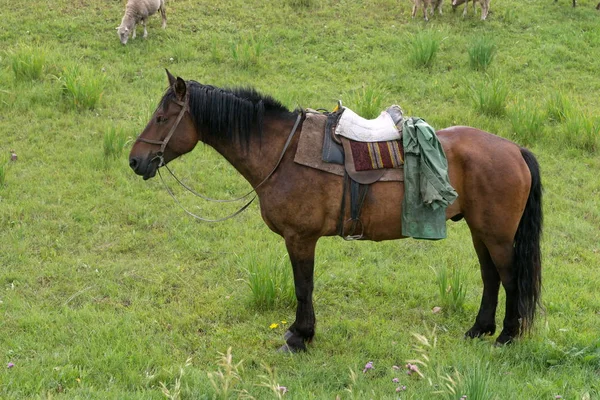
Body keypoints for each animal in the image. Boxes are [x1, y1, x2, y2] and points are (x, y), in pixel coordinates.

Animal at [127, 70, 544, 352]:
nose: (135, 160)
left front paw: (300, 336)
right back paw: (479, 329)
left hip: (498, 235)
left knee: (509, 278)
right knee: (490, 277)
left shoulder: (300, 238)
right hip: (480, 231)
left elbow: (303, 286)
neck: (282, 152)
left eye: (162, 118)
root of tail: (514, 149)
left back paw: (506, 335)